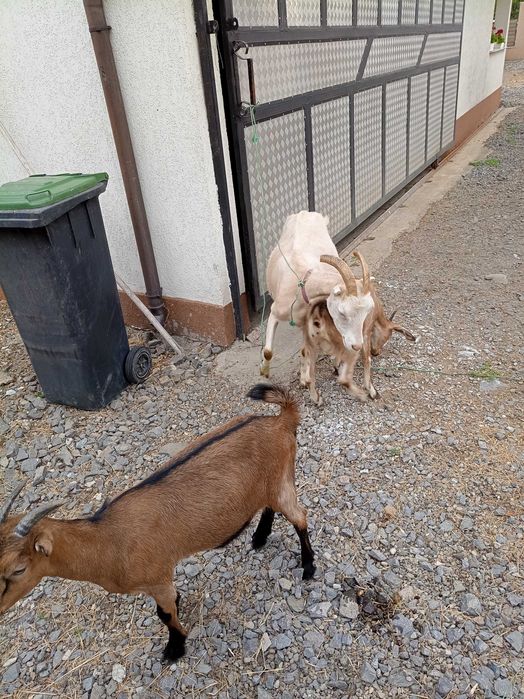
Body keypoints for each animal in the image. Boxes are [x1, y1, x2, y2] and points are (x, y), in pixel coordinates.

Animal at [0, 385, 315, 662]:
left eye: (19, 569)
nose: (0, 608)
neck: (107, 540)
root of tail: (281, 420)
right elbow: (170, 605)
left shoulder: (158, 577)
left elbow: (164, 615)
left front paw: (175, 649)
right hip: (267, 485)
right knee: (270, 507)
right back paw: (259, 538)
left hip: (281, 480)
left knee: (300, 517)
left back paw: (308, 567)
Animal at [260, 211, 375, 378]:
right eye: (342, 312)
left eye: (367, 312)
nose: (357, 346)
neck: (302, 286)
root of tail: (307, 213)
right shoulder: (275, 311)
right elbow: (268, 351)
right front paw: (264, 372)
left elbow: (304, 351)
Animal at [300, 254, 416, 404]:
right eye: (387, 337)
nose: (376, 352)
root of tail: (318, 317)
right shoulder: (364, 335)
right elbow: (367, 360)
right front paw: (371, 390)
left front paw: (336, 367)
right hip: (348, 346)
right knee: (344, 379)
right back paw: (363, 394)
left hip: (312, 343)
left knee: (308, 366)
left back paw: (315, 396)